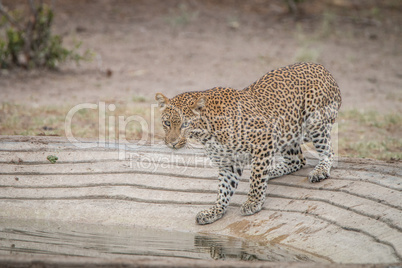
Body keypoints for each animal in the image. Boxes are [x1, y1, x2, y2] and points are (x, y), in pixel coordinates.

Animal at [155, 62, 340, 224]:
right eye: (167, 123)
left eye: (185, 125)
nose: (172, 143)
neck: (208, 133)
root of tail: (322, 68)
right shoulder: (228, 162)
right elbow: (224, 189)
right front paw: (215, 211)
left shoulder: (263, 140)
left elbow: (256, 177)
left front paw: (253, 202)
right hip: (287, 131)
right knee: (298, 160)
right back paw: (273, 170)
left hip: (314, 122)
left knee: (328, 152)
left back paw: (320, 171)